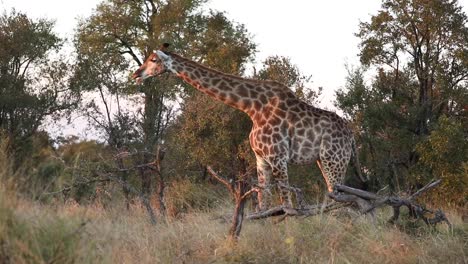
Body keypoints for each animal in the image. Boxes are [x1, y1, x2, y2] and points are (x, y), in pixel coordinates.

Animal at [131, 43, 366, 210]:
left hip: (334, 160)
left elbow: (286, 204)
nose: (136, 74)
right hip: (324, 161)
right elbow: (264, 203)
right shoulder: (261, 159)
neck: (251, 107)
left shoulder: (278, 157)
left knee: (341, 200)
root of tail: (351, 136)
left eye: (153, 59)